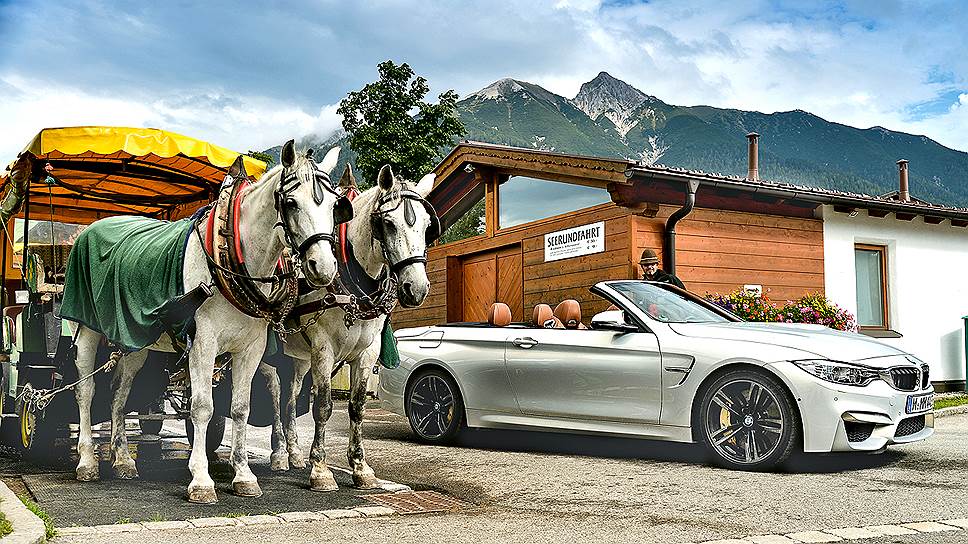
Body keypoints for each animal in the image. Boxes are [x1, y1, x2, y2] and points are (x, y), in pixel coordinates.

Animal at [73, 142, 352, 504]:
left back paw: (121, 459)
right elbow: (203, 407)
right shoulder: (203, 344)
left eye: (334, 206)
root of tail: (92, 228)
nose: (324, 267)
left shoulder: (250, 349)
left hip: (134, 340)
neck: (231, 256)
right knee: (86, 390)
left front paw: (244, 475)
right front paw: (201, 480)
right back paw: (87, 461)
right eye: (291, 203)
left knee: (119, 393)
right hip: (87, 329)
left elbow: (240, 408)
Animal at [268, 163, 434, 488]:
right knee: (273, 396)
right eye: (388, 224)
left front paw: (360, 467)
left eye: (426, 225)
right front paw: (320, 469)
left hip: (297, 358)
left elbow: (357, 407)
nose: (417, 288)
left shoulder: (367, 352)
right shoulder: (323, 350)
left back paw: (293, 453)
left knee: (290, 400)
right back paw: (279, 455)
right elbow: (323, 405)